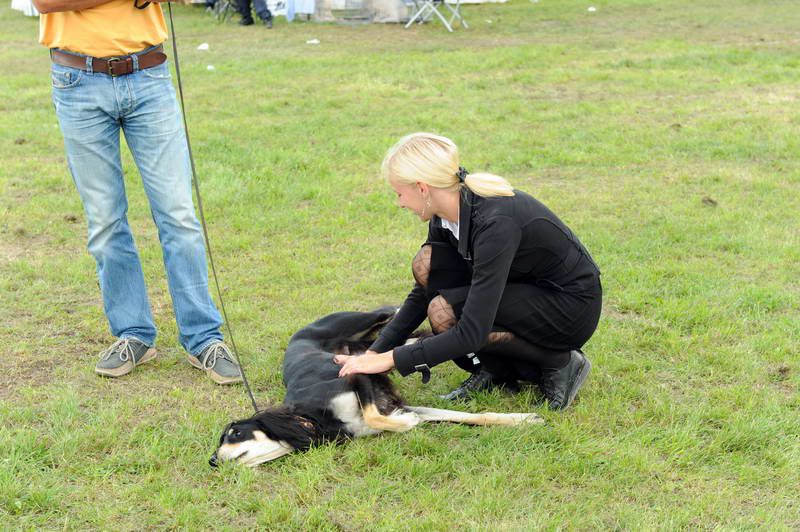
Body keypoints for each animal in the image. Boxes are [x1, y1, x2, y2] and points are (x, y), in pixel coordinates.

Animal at [211, 306, 544, 468]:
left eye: (233, 434)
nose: (212, 461)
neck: (312, 417)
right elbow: (470, 416)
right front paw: (523, 420)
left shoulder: (354, 375)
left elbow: (373, 414)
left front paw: (405, 423)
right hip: (379, 342)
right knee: (408, 339)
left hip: (358, 322)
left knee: (390, 313)